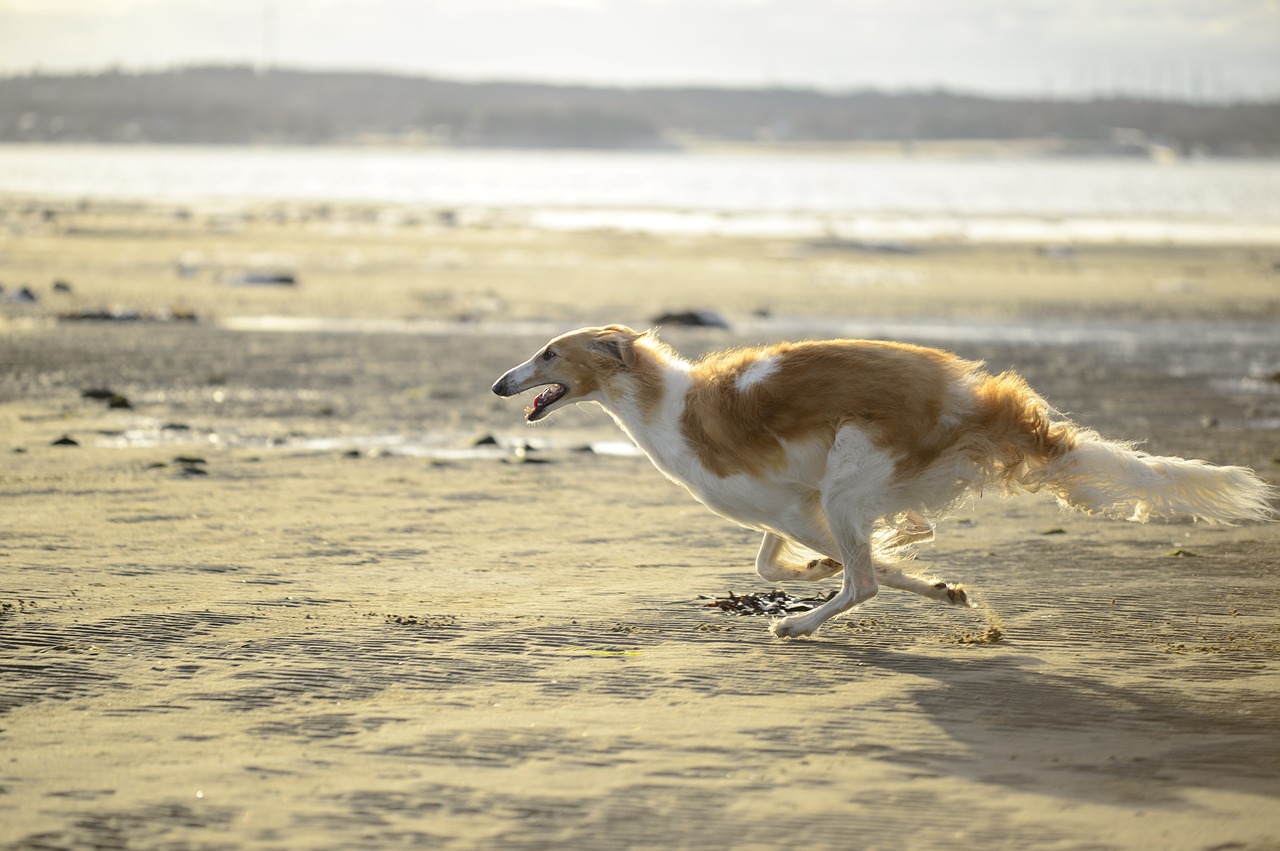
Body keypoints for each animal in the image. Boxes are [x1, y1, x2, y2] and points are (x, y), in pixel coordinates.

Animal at [486, 325, 1269, 637]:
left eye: (549, 352)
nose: (498, 383)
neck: (662, 401)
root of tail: (976, 398)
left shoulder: (798, 506)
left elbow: (852, 567)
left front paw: (828, 581)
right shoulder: (790, 504)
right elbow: (784, 561)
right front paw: (942, 588)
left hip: (850, 476)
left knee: (863, 580)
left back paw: (798, 625)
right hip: (853, 485)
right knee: (896, 542)